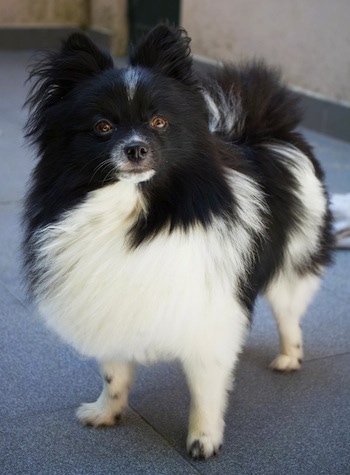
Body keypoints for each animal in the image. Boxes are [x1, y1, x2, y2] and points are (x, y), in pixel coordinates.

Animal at [23, 24, 332, 460]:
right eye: (103, 127)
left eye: (159, 122)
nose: (136, 148)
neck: (136, 212)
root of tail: (261, 131)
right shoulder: (110, 303)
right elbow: (113, 373)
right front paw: (107, 412)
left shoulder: (208, 314)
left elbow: (205, 389)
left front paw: (204, 439)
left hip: (292, 264)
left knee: (288, 315)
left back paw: (289, 358)